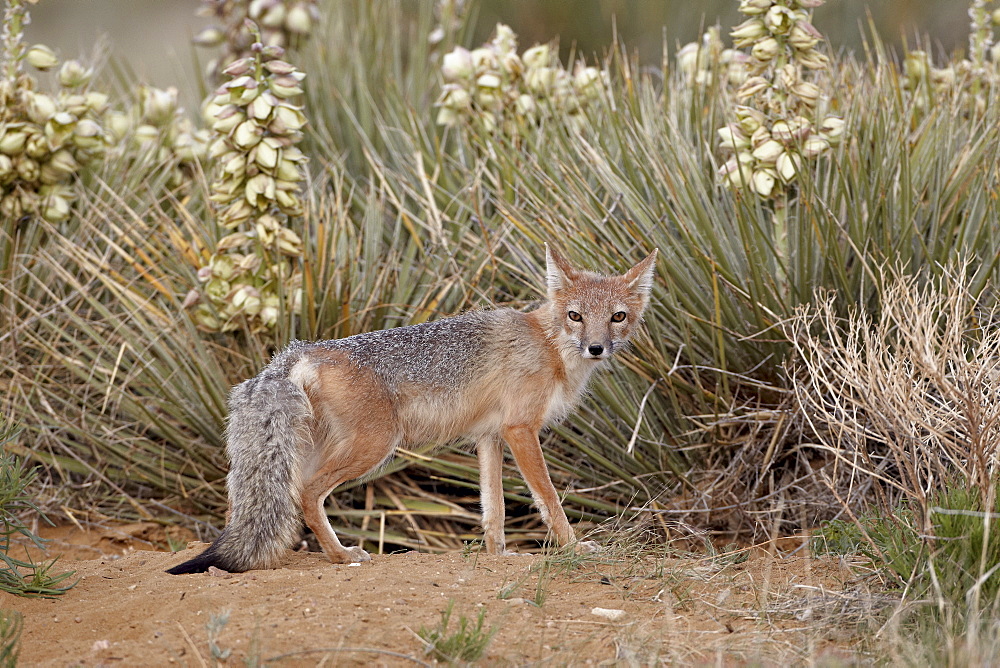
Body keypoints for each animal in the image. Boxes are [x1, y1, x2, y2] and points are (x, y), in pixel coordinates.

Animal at [167, 245, 656, 576]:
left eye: (616, 317)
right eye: (575, 316)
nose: (596, 347)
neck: (550, 347)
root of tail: (301, 350)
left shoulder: (490, 436)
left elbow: (493, 508)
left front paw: (499, 555)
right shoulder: (521, 430)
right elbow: (549, 499)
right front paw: (573, 548)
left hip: (315, 450)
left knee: (272, 499)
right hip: (373, 447)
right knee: (306, 493)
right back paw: (341, 555)